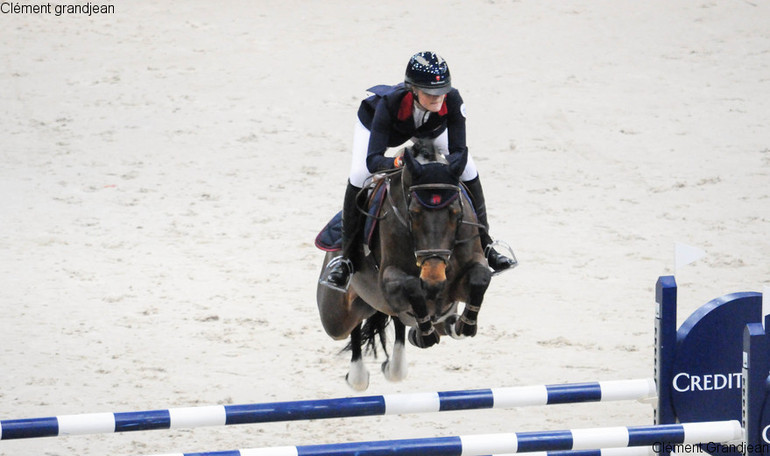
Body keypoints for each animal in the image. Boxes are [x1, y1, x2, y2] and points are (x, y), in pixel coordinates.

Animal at [314, 145, 488, 388]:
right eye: (414, 213)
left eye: (455, 212)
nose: (434, 281)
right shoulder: (388, 281)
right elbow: (412, 286)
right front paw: (427, 332)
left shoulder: (462, 278)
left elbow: (481, 277)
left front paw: (465, 325)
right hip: (337, 316)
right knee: (355, 327)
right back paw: (359, 374)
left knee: (404, 323)